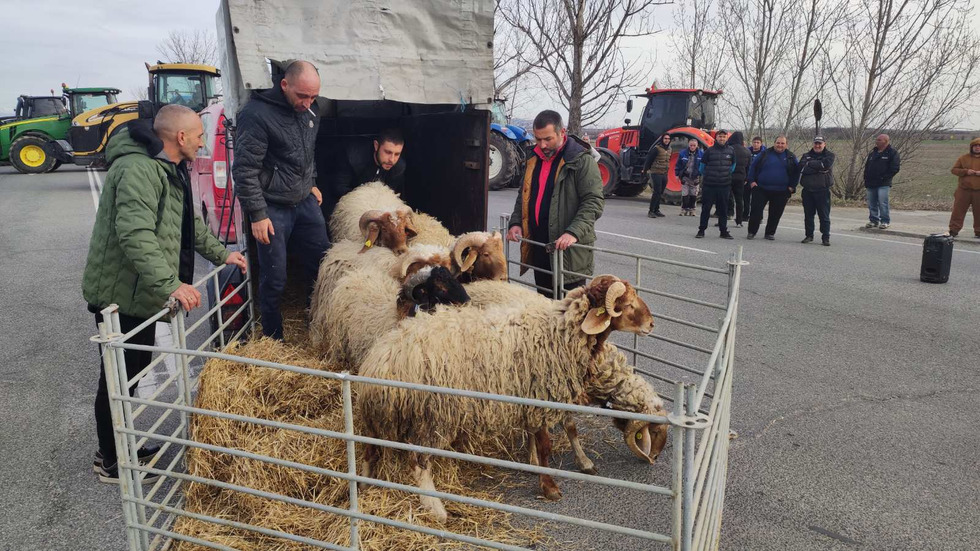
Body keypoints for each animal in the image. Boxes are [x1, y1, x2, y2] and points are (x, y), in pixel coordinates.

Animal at [352, 276, 668, 520]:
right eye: (626, 305)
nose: (652, 325)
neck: (559, 332)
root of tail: (382, 361)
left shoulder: (537, 397)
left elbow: (562, 431)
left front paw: (558, 465)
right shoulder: (542, 397)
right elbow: (547, 446)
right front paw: (550, 487)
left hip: (379, 415)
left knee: (369, 448)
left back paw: (364, 486)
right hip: (432, 416)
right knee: (419, 464)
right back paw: (436, 510)